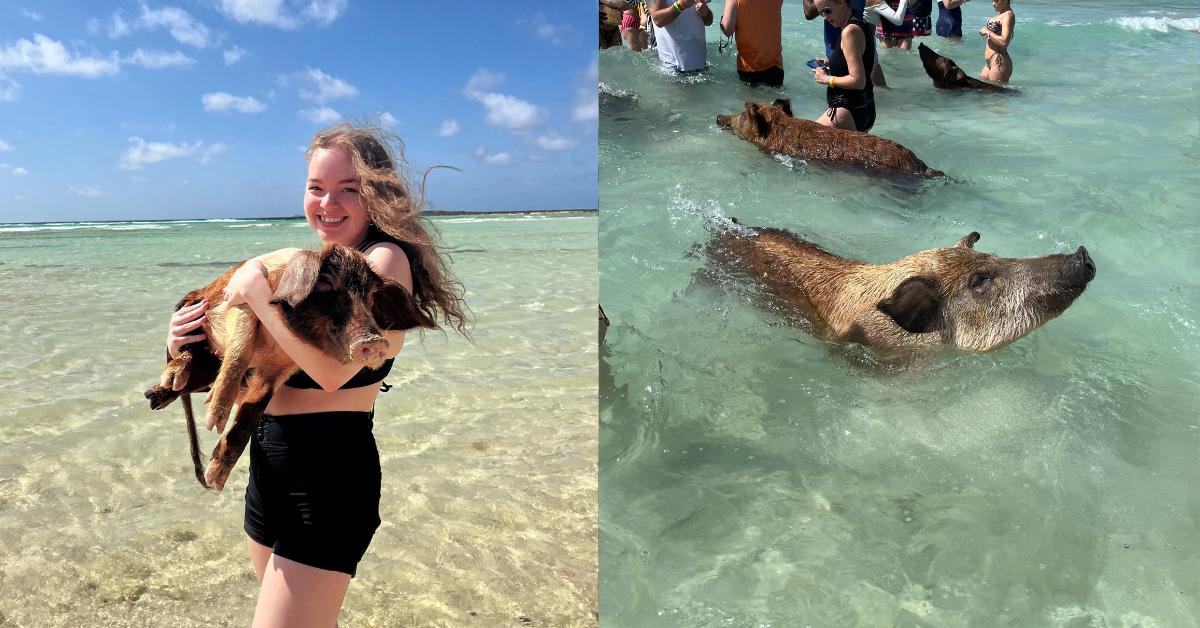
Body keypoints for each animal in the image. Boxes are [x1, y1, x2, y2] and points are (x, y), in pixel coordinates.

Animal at [144, 243, 436, 494]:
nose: (375, 340)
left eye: (373, 294)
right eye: (325, 281)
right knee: (187, 352)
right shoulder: (237, 301)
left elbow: (251, 412)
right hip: (192, 307)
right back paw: (167, 385)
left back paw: (157, 396)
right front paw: (213, 420)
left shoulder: (280, 369)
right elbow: (240, 350)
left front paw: (215, 479)